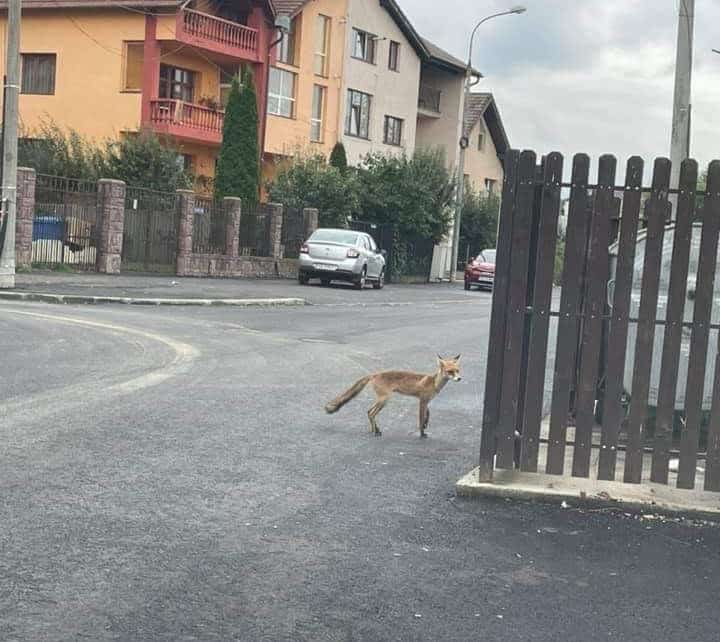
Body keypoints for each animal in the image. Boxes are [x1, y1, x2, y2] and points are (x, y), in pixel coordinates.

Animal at [324, 352, 462, 438]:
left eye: (457, 371)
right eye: (450, 372)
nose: (460, 379)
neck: (433, 383)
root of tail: (375, 374)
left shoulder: (426, 401)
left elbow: (428, 415)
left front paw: (425, 425)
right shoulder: (422, 401)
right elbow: (420, 418)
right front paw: (422, 433)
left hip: (381, 400)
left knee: (368, 411)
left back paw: (376, 430)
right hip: (384, 400)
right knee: (372, 413)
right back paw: (375, 432)